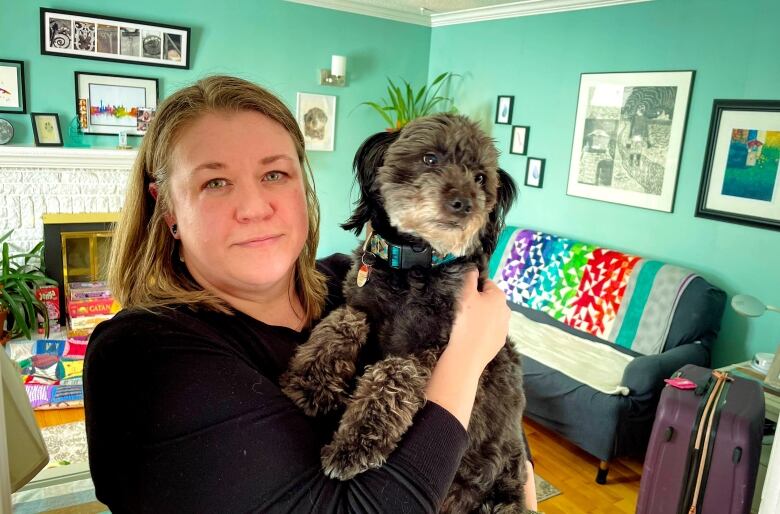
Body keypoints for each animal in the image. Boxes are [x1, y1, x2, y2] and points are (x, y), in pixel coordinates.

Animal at [278, 113, 528, 512]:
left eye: (480, 178)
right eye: (430, 158)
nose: (464, 203)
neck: (414, 263)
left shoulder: (428, 347)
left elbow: (392, 375)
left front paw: (355, 445)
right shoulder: (361, 303)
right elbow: (342, 324)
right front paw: (310, 382)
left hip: (500, 497)